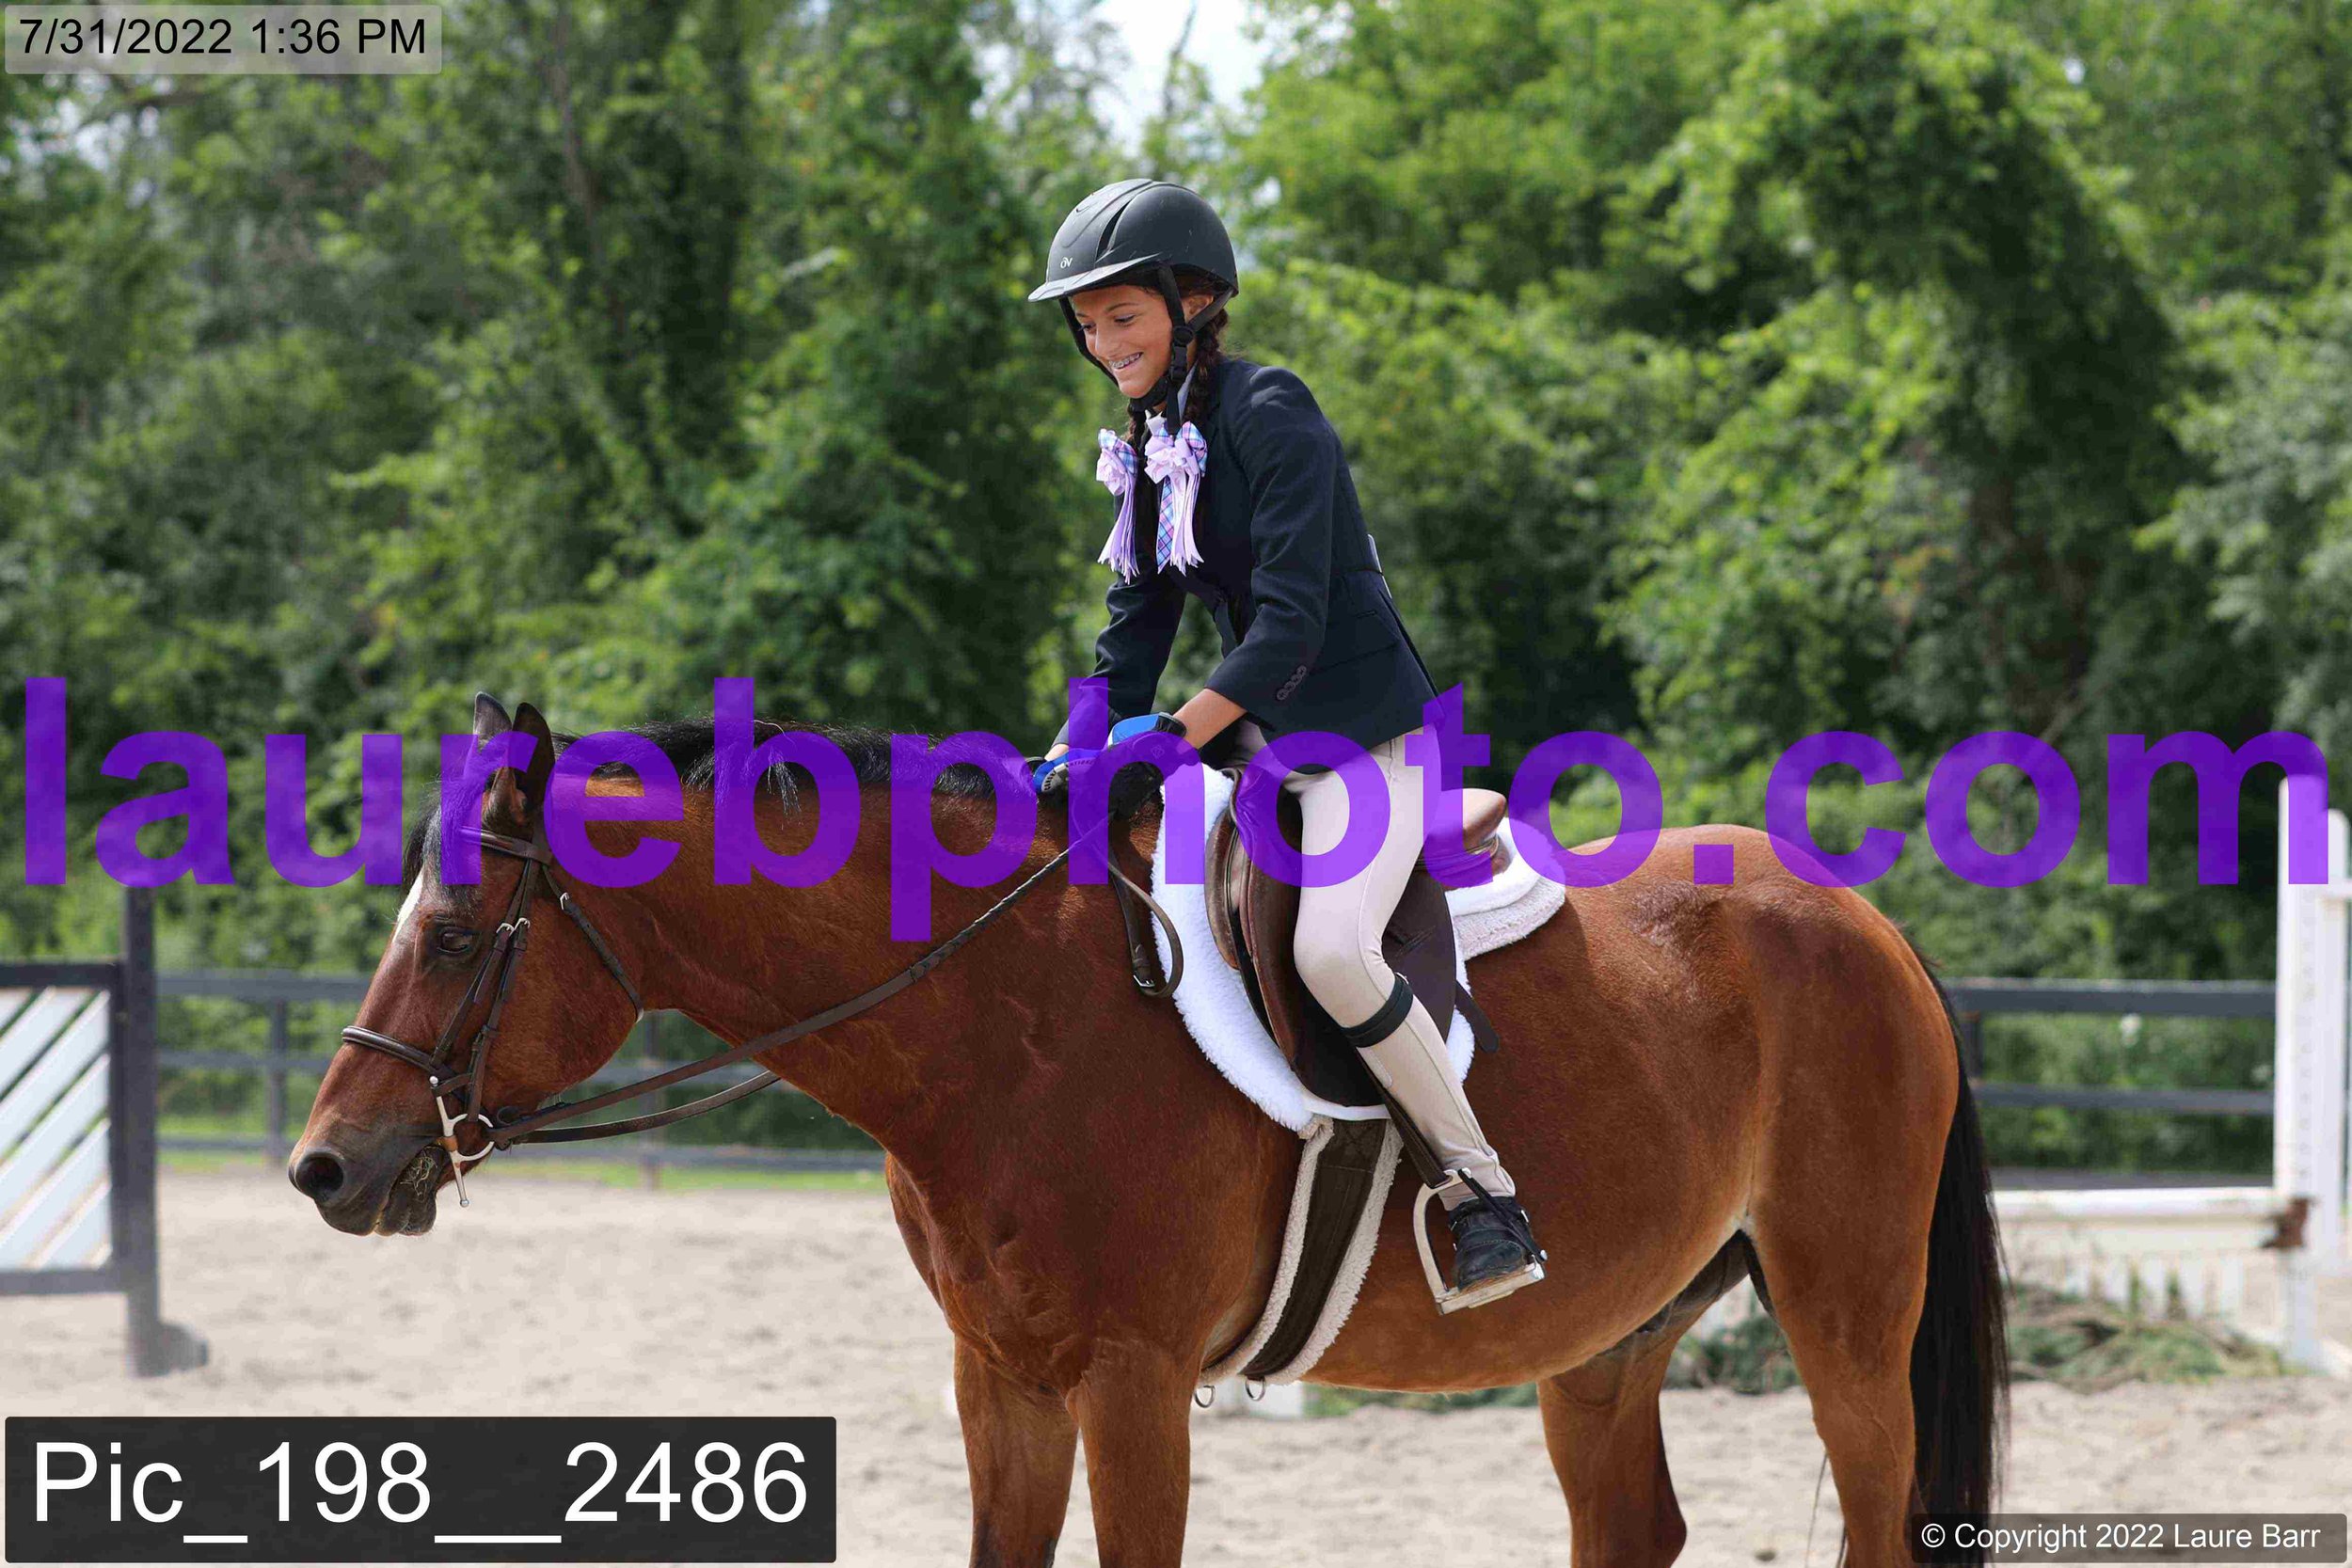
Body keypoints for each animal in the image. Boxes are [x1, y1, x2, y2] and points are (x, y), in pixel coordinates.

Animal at [290, 695, 2009, 1568]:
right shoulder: (1002, 1377)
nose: (326, 1166)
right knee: (1632, 1519)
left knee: (1876, 1511)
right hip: (1613, 1329)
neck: (999, 1018)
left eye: (455, 935)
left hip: (1845, 1310)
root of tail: (1861, 917)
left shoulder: (1133, 1381)